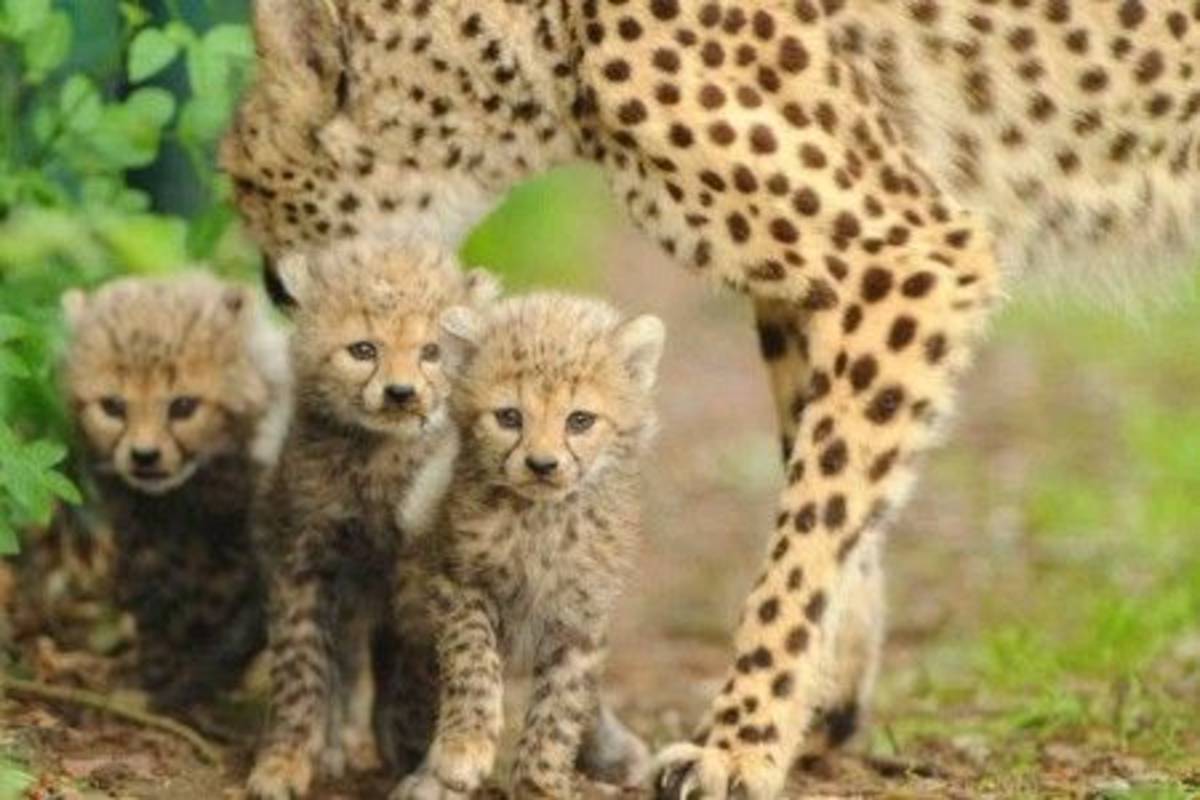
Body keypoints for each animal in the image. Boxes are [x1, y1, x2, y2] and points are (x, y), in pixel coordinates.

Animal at [60, 274, 288, 712]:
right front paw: (158, 677)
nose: (144, 456)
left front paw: (186, 688)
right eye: (113, 406)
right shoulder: (143, 542)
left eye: (183, 406)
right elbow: (158, 612)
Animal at [246, 237, 498, 800]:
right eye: (364, 350)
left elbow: (419, 668)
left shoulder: (419, 571)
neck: (378, 454)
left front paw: (414, 753)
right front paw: (284, 760)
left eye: (431, 353)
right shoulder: (303, 556)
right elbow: (301, 667)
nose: (401, 393)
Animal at [392, 293, 663, 800]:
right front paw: (463, 748)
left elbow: (561, 710)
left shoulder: (581, 620)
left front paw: (541, 784)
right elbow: (472, 662)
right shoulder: (456, 583)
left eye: (580, 420)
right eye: (509, 417)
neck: (541, 520)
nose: (542, 464)